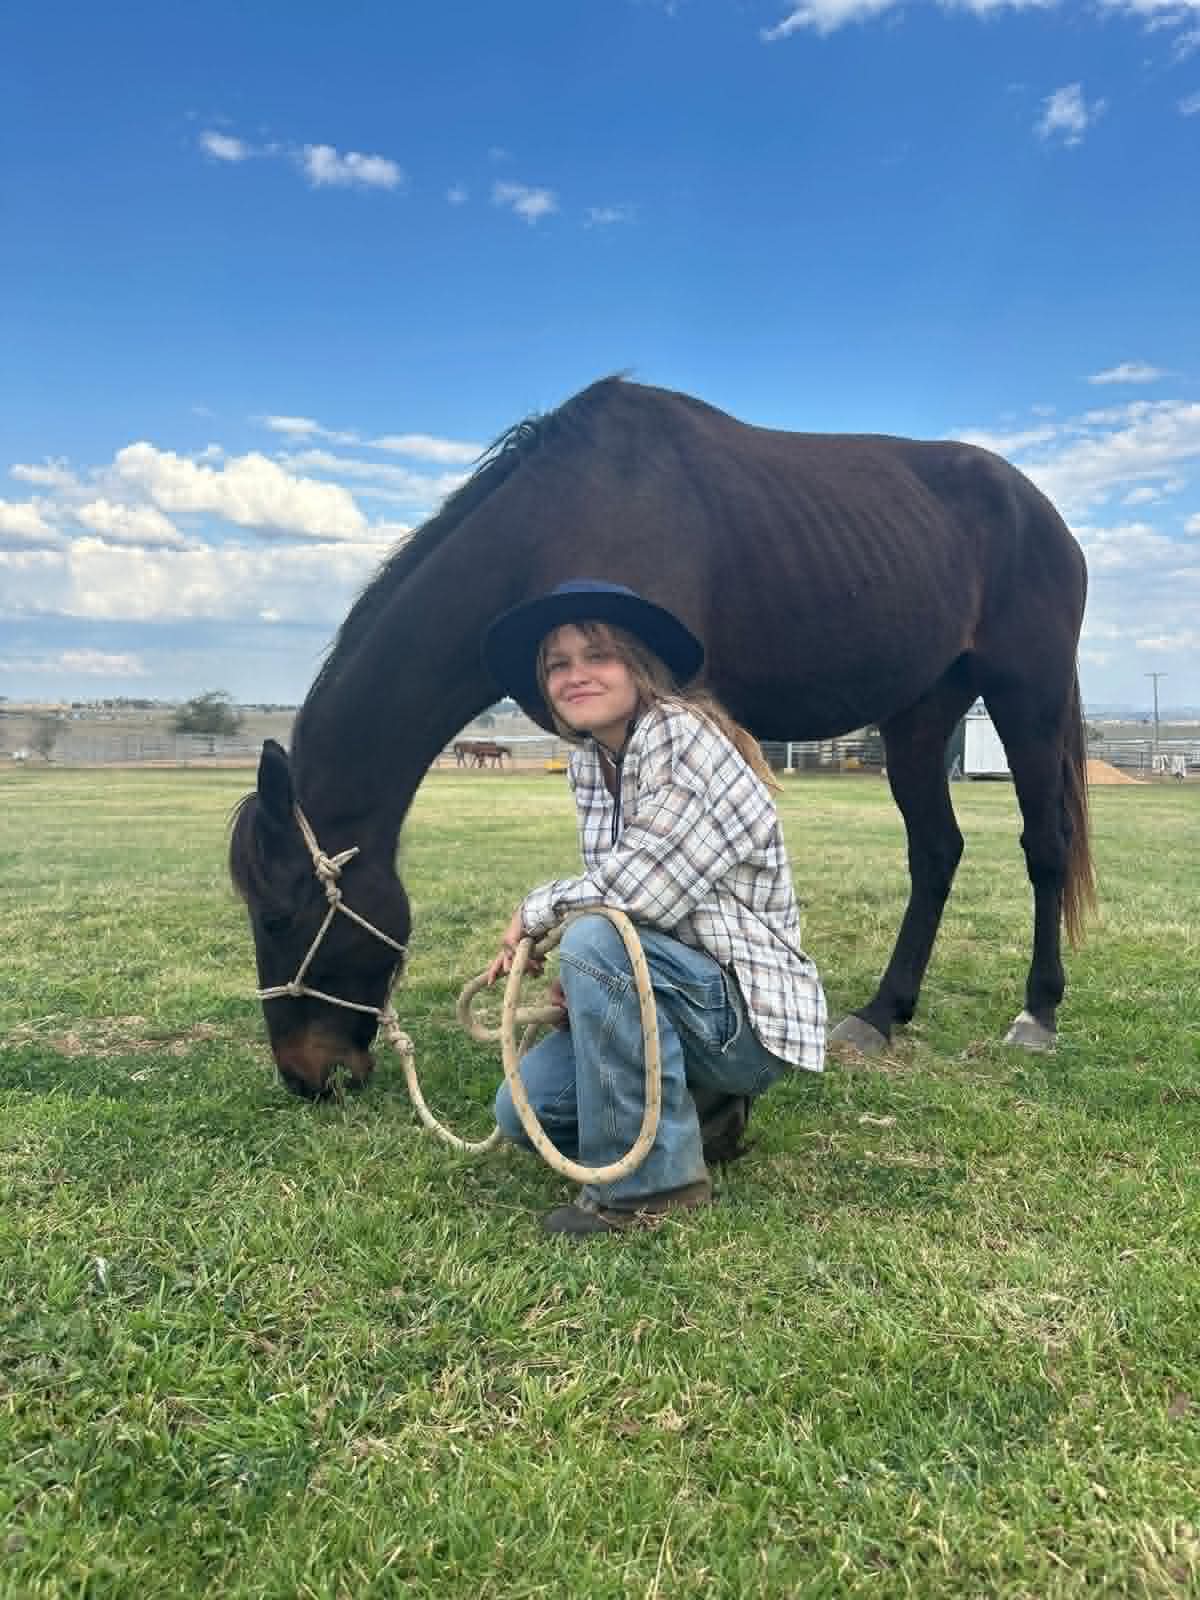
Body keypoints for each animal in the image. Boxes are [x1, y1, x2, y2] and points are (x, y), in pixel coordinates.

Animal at [229, 376, 1094, 1098]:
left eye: (276, 919)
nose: (306, 1077)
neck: (553, 526)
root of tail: (1042, 512)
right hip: (921, 712)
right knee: (936, 849)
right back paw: (884, 1012)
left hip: (1026, 693)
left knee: (1043, 845)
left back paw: (1038, 1013)